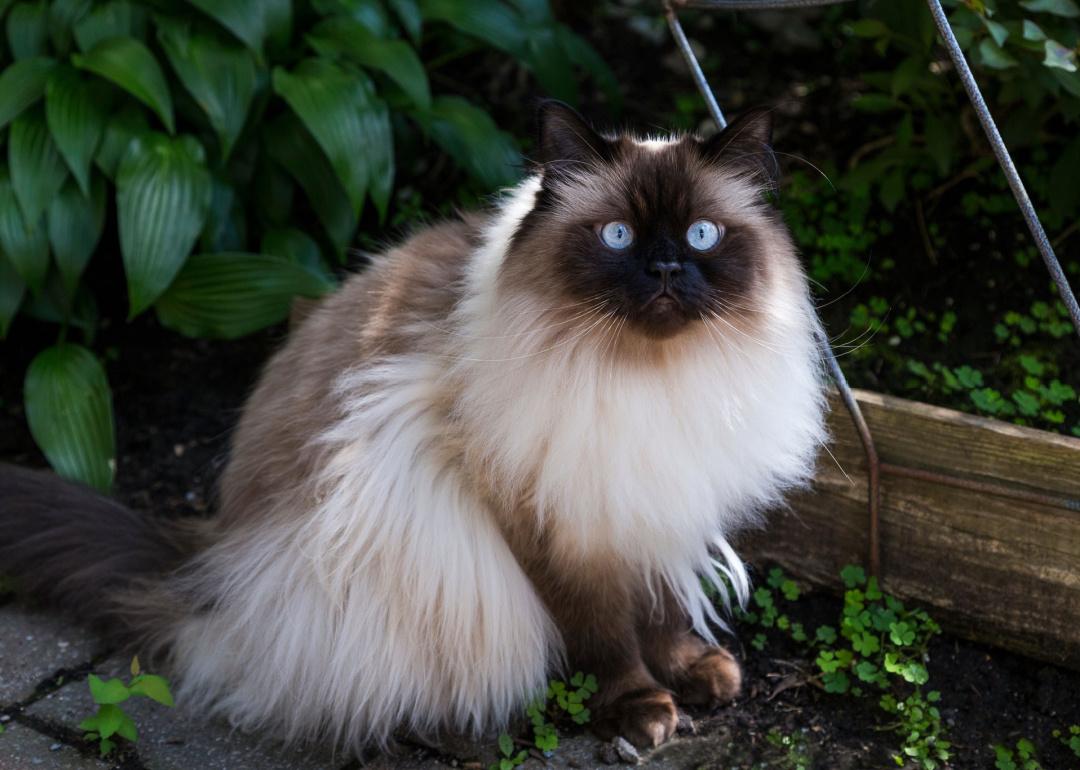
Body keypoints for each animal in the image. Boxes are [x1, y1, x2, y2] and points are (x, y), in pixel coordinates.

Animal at [0, 100, 825, 751]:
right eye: (617, 236)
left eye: (702, 236)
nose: (663, 270)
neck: (647, 379)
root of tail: (202, 563)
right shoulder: (558, 517)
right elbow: (606, 633)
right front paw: (642, 709)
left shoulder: (650, 499)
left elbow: (660, 611)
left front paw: (694, 673)